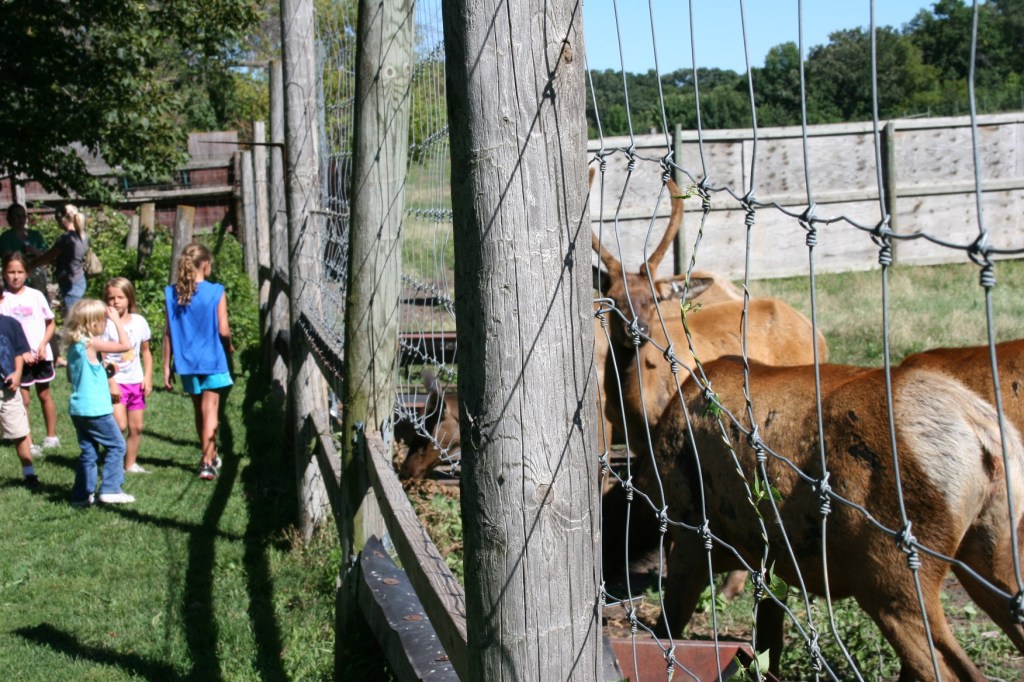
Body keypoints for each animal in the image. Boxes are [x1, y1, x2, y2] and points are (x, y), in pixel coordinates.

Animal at [643, 355, 1024, 680]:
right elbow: (768, 647)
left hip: (888, 574)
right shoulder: (770, 563)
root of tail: (985, 436)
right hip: (991, 549)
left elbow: (668, 630)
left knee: (946, 668)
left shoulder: (692, 532)